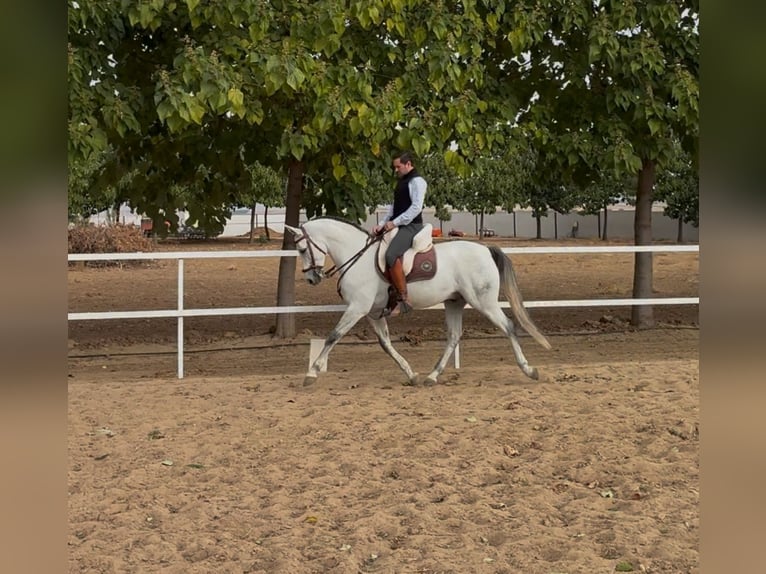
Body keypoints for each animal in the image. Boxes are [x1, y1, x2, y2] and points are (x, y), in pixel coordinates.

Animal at [284, 217, 551, 387]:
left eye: (301, 250)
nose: (311, 278)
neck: (357, 257)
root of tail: (486, 250)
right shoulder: (372, 313)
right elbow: (386, 344)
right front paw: (411, 374)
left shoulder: (357, 308)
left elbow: (333, 336)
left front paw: (312, 373)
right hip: (454, 302)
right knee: (454, 336)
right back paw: (432, 376)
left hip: (484, 302)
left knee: (508, 327)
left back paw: (529, 370)